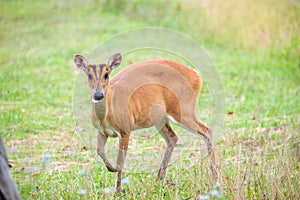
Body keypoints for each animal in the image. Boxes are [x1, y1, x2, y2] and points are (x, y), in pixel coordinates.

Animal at [74, 53, 217, 194]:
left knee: (206, 130)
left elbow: (120, 161)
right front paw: (111, 169)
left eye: (106, 74)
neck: (107, 115)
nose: (98, 95)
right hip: (160, 118)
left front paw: (118, 190)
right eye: (89, 75)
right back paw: (159, 180)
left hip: (183, 110)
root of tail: (196, 75)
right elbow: (99, 151)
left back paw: (214, 177)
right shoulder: (102, 131)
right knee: (173, 138)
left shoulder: (125, 130)